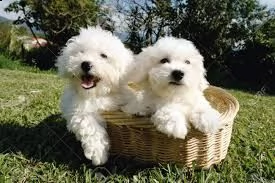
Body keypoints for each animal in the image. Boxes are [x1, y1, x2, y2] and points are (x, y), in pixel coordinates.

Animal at [56, 26, 134, 165]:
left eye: (103, 55)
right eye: (81, 52)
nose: (85, 64)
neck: (98, 93)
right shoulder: (77, 109)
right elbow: (89, 125)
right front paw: (98, 153)